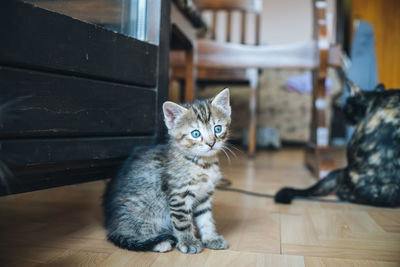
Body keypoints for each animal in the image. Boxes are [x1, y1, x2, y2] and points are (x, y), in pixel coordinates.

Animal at [103, 89, 231, 254]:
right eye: (196, 134)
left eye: (218, 129)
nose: (211, 143)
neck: (203, 164)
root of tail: (113, 226)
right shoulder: (179, 194)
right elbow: (182, 222)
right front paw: (188, 242)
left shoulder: (205, 195)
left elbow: (206, 218)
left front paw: (211, 238)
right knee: (133, 230)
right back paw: (159, 242)